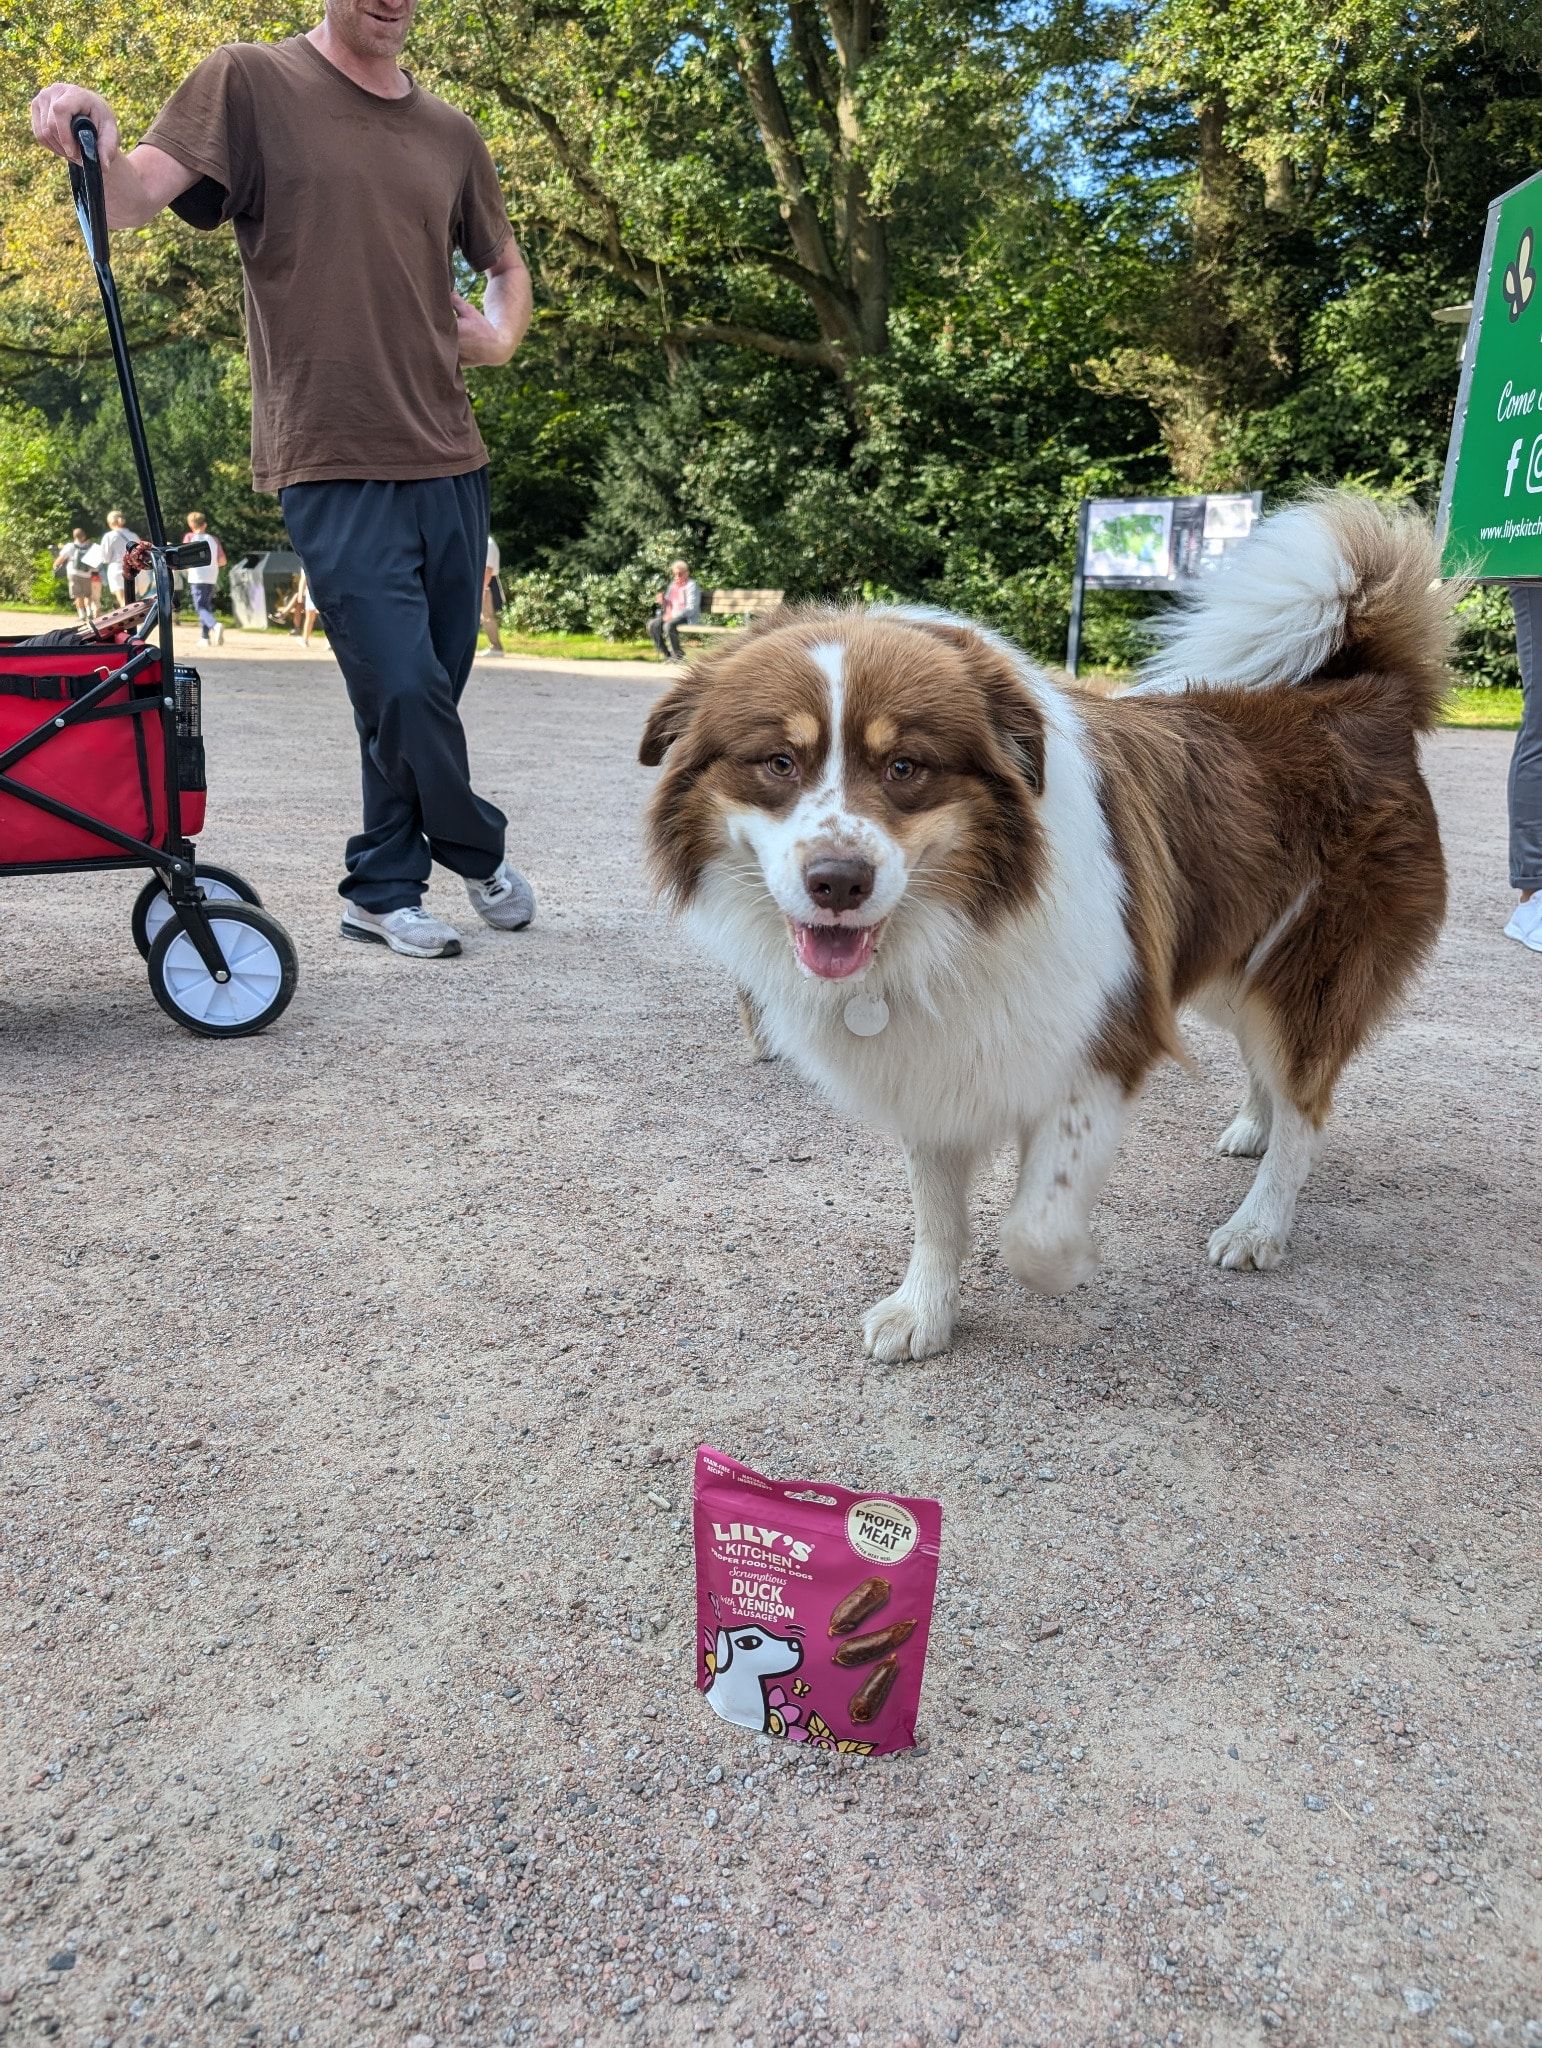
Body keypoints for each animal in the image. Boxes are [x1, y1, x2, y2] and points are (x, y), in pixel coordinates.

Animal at [630, 495, 1449, 1359]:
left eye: (906, 767)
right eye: (778, 762)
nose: (839, 882)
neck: (963, 921)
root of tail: (1365, 692)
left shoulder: (1108, 1035)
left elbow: (1036, 1229)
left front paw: (1067, 1265)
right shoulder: (932, 1061)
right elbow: (937, 1214)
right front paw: (924, 1309)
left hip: (1304, 977)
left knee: (1306, 1104)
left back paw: (1258, 1223)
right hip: (1229, 961)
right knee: (1273, 1076)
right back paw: (1252, 1129)